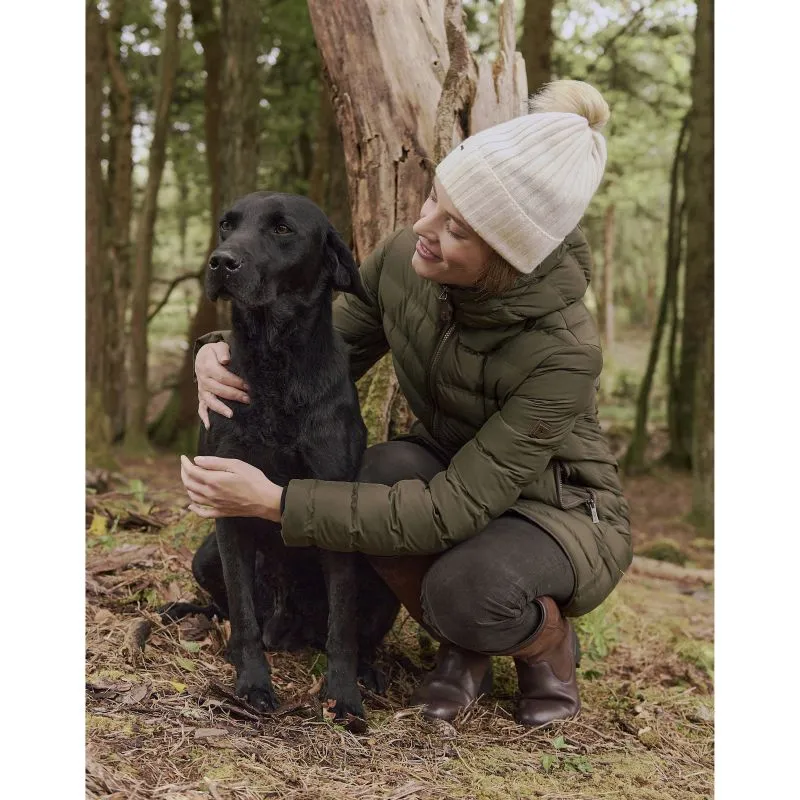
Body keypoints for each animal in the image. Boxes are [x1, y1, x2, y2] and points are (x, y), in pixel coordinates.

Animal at [186, 192, 400, 720]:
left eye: (282, 229)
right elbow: (243, 613)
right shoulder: (225, 504)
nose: (221, 262)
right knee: (233, 610)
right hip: (204, 557)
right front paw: (252, 683)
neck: (274, 363)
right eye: (227, 224)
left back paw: (367, 672)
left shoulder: (335, 503)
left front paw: (343, 695)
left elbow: (343, 622)